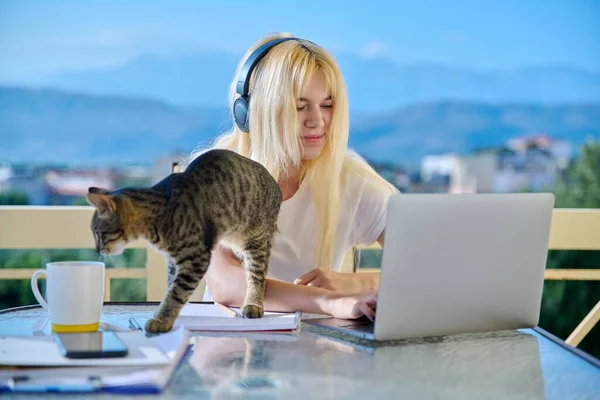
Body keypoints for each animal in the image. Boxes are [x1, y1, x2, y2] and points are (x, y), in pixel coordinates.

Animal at [86, 148, 282, 332]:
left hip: (254, 241)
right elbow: (170, 286)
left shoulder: (197, 259)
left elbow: (176, 292)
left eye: (98, 234)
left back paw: (253, 304)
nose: (97, 250)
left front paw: (162, 320)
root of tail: (275, 184)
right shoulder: (173, 261)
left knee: (257, 275)